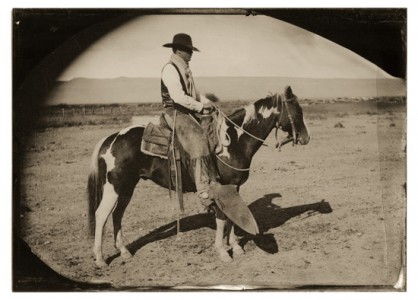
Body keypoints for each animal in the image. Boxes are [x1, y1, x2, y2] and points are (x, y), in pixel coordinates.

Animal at [89, 85, 310, 266]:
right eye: (298, 111)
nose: (306, 138)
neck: (235, 141)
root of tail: (110, 139)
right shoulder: (222, 188)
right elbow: (222, 220)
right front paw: (223, 252)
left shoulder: (234, 188)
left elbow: (231, 219)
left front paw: (236, 247)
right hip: (114, 186)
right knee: (101, 215)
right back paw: (100, 259)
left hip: (127, 187)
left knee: (117, 215)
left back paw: (124, 252)